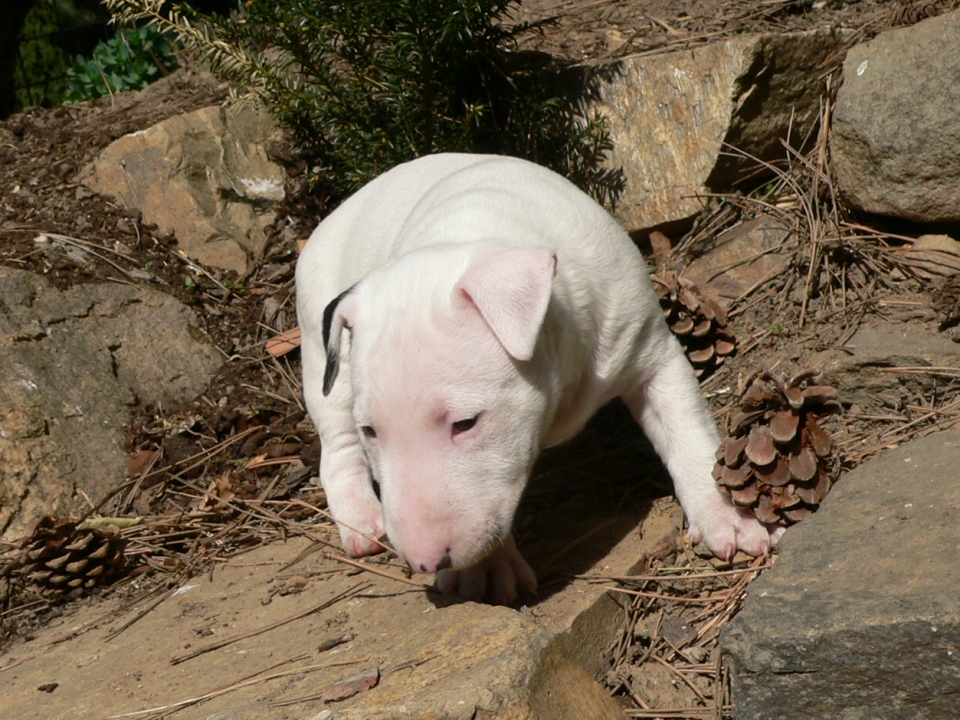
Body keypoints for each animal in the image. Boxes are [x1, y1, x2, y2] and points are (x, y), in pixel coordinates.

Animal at [296, 153, 776, 605]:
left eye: (465, 423)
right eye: (371, 431)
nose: (425, 562)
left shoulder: (651, 350)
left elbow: (687, 431)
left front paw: (726, 517)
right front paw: (486, 571)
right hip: (325, 364)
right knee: (336, 450)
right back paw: (361, 519)